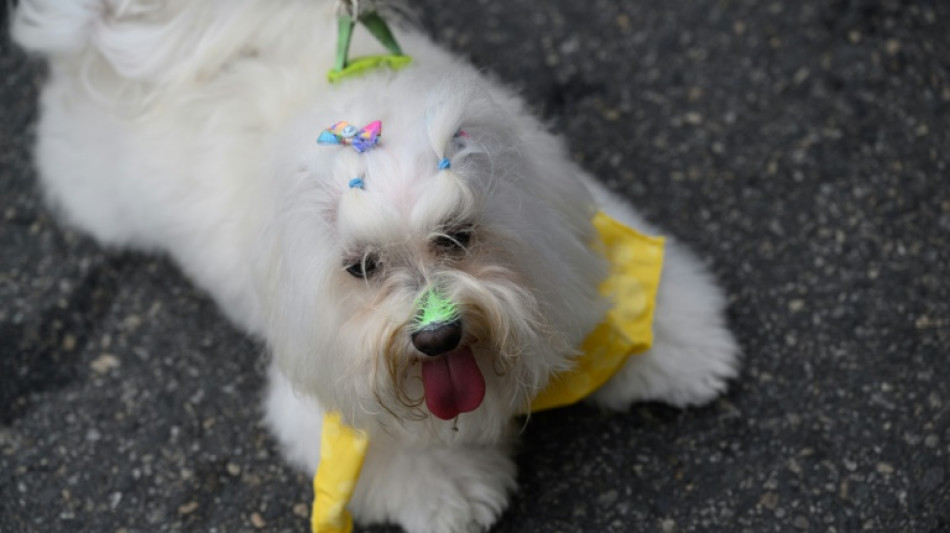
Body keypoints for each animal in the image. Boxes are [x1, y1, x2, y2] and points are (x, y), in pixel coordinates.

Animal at [14, 2, 740, 528]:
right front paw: (455, 495)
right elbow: (399, 449)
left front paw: (681, 353)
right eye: (361, 267)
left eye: (457, 236)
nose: (437, 336)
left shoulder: (571, 235)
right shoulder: (331, 384)